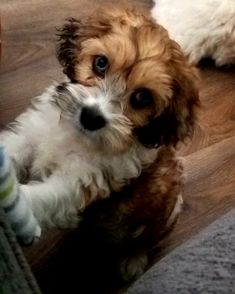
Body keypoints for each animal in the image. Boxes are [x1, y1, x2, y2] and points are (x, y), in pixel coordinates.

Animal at [0, 5, 198, 278]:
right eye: (100, 63)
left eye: (141, 98)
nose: (91, 117)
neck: (76, 135)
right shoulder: (32, 134)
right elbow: (16, 148)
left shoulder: (81, 182)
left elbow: (40, 197)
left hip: (163, 216)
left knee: (145, 239)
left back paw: (132, 259)